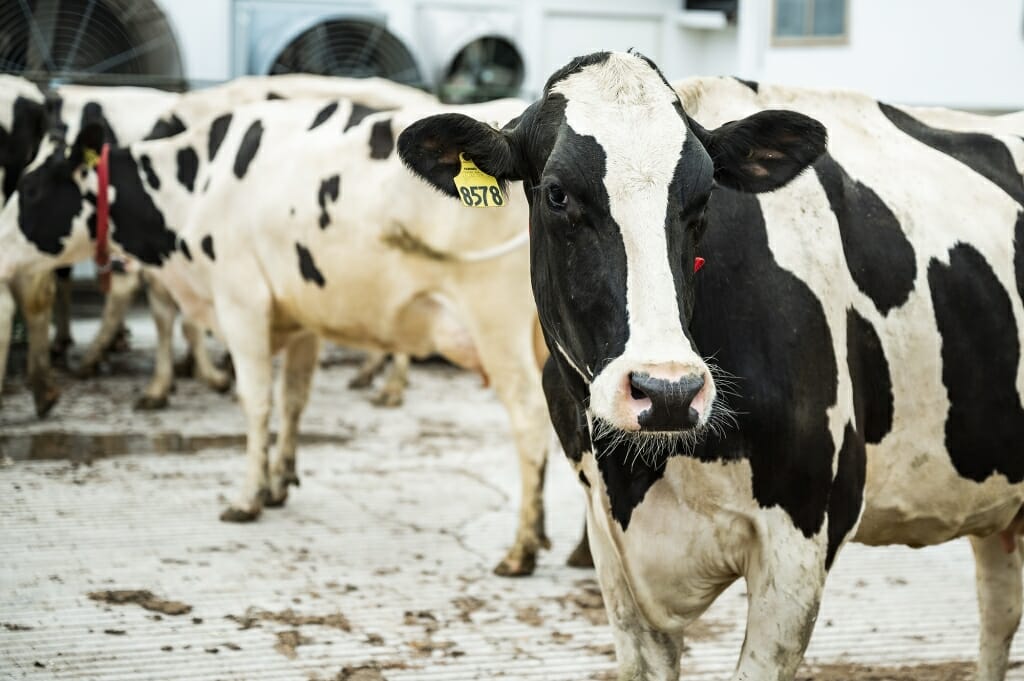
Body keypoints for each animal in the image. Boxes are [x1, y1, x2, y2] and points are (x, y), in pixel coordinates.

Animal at [0, 94, 561, 573]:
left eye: (29, 190)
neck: (200, 187)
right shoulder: (302, 314)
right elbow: (293, 399)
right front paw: (278, 481)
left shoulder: (241, 301)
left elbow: (256, 402)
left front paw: (247, 497)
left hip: (496, 326)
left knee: (531, 421)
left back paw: (523, 547)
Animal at [397, 53, 1024, 679]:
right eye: (556, 194)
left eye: (703, 201)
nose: (667, 391)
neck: (644, 469)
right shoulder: (612, 545)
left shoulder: (803, 535)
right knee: (998, 610)